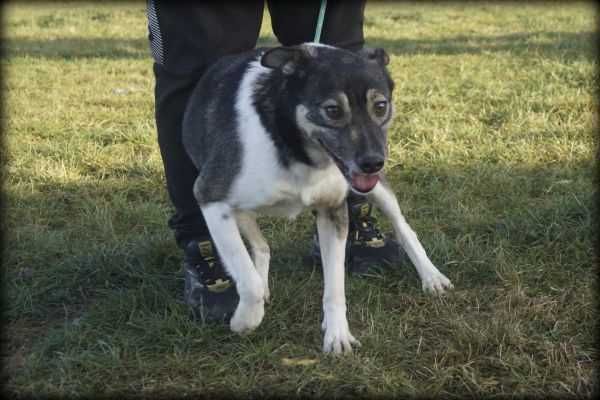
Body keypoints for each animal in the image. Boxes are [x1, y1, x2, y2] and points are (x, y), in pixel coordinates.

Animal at [180, 43, 452, 354]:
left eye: (381, 106)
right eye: (332, 111)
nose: (373, 163)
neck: (295, 148)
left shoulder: (332, 211)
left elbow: (335, 286)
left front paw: (337, 335)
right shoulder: (211, 199)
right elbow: (248, 280)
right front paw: (245, 320)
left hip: (376, 190)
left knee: (404, 228)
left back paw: (431, 276)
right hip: (240, 211)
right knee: (260, 248)